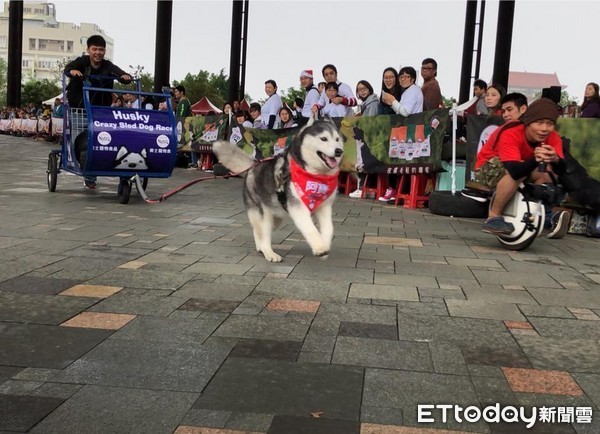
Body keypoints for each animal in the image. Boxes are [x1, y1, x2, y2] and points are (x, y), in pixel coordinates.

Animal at [213, 118, 342, 262]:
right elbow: (310, 229)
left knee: (258, 231)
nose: (339, 151)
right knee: (263, 232)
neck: (315, 175)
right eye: (324, 138)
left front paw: (324, 245)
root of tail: (254, 165)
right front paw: (320, 248)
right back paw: (269, 253)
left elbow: (329, 228)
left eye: (337, 139)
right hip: (262, 212)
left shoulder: (324, 207)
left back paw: (261, 247)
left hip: (276, 216)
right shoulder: (298, 208)